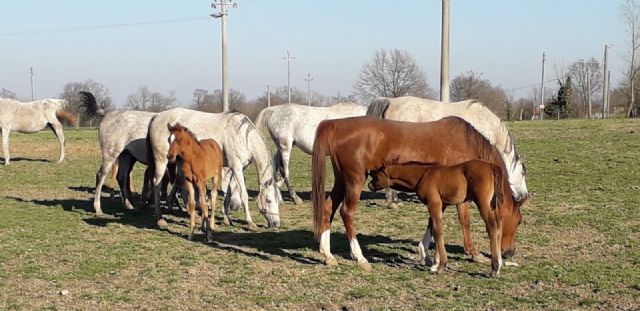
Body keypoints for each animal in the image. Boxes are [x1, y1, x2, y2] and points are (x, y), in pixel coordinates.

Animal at [150, 108, 282, 230]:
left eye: (279, 200)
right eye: (269, 200)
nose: (277, 223)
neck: (242, 136)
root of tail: (157, 116)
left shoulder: (235, 168)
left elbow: (228, 193)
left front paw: (226, 219)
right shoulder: (236, 166)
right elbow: (243, 194)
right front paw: (250, 222)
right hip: (162, 160)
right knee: (157, 184)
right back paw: (160, 218)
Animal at [364, 161, 504, 278]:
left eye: (376, 176)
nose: (369, 185)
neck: (423, 175)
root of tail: (492, 167)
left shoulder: (434, 204)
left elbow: (437, 231)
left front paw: (441, 266)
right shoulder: (441, 205)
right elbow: (433, 228)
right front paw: (435, 264)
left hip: (483, 203)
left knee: (492, 226)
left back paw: (494, 268)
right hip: (493, 205)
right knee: (499, 226)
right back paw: (499, 265)